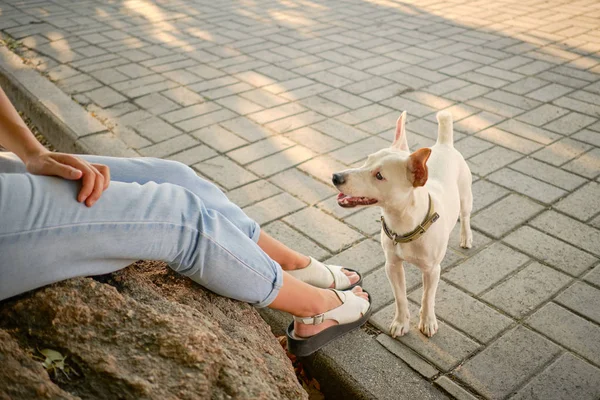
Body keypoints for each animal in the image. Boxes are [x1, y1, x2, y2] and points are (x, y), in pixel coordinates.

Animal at [332, 109, 474, 338]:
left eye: (379, 175)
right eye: (367, 160)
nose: (336, 177)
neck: (403, 223)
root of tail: (444, 144)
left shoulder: (432, 271)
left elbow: (427, 297)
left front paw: (427, 321)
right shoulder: (392, 266)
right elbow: (400, 297)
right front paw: (401, 323)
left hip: (465, 196)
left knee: (466, 215)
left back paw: (466, 237)